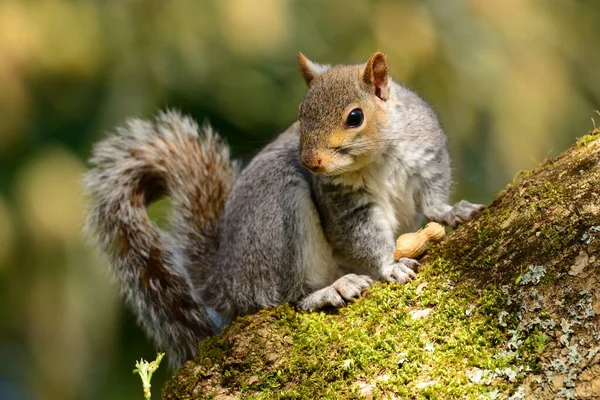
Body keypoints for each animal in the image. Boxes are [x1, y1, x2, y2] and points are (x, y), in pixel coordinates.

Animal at [84, 51, 486, 368]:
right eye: (301, 114)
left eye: (355, 117)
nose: (310, 161)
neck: (379, 155)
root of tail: (225, 280)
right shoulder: (344, 204)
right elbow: (362, 237)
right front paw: (389, 265)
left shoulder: (427, 157)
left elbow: (432, 200)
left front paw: (453, 212)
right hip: (278, 216)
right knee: (282, 298)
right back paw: (330, 291)